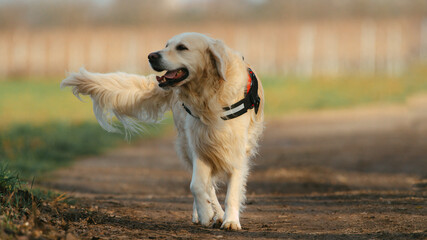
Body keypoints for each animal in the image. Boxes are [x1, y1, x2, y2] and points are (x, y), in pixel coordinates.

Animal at [61, 32, 264, 230]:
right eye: (166, 45)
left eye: (182, 47)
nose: (151, 55)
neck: (209, 95)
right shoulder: (199, 146)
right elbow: (197, 185)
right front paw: (207, 214)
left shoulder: (236, 151)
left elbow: (232, 192)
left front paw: (231, 221)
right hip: (186, 144)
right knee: (207, 185)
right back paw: (207, 214)